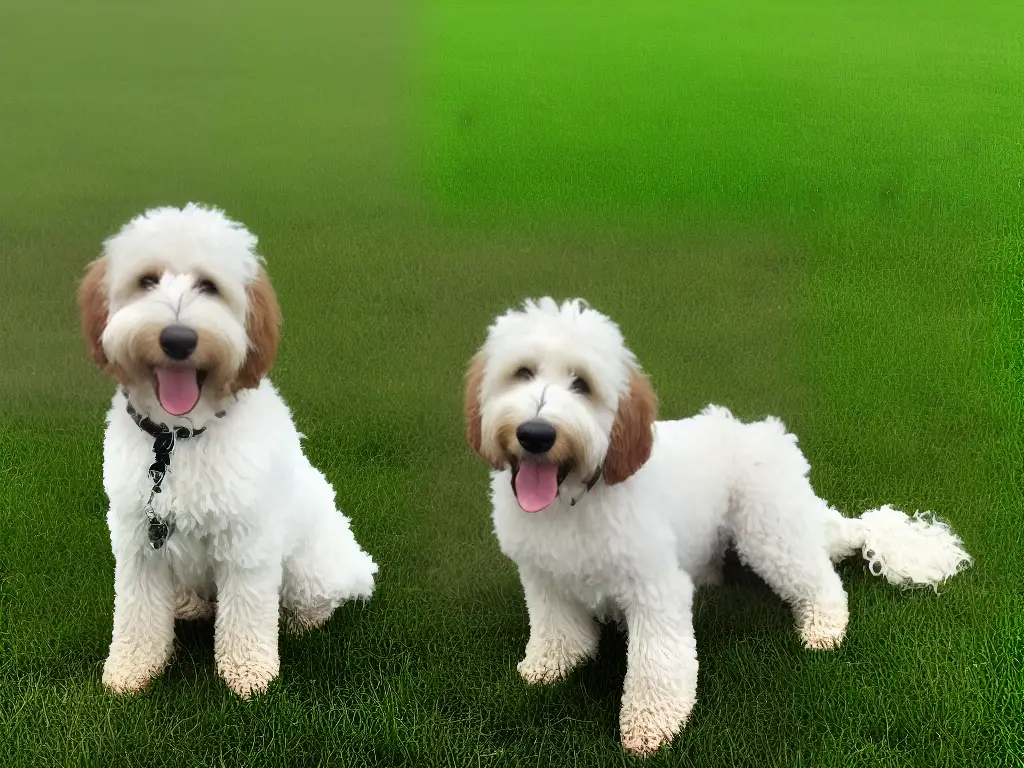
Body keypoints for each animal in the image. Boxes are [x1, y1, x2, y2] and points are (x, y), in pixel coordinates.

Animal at [77, 202, 378, 696]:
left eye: (209, 286)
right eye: (147, 280)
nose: (178, 339)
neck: (178, 439)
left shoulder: (247, 542)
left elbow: (246, 615)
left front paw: (249, 674)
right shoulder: (139, 539)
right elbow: (137, 614)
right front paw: (131, 670)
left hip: (309, 567)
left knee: (320, 599)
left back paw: (300, 621)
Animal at [462, 296, 966, 757]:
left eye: (581, 384)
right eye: (523, 373)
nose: (535, 434)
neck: (573, 500)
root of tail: (773, 438)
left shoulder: (656, 587)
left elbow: (658, 662)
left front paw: (651, 726)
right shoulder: (544, 578)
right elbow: (559, 633)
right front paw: (548, 667)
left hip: (770, 532)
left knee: (822, 581)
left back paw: (823, 627)